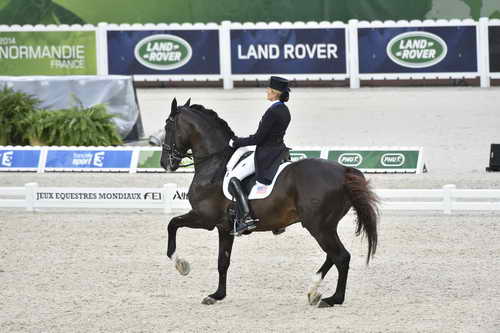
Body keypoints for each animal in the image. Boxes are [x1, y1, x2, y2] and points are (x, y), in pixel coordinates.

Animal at [161, 97, 378, 308]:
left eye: (167, 127)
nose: (165, 164)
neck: (214, 163)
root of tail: (344, 171)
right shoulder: (225, 227)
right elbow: (223, 262)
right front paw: (217, 295)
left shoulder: (205, 218)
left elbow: (172, 224)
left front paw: (181, 265)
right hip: (326, 226)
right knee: (332, 256)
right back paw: (314, 292)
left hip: (318, 226)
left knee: (341, 257)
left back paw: (333, 299)